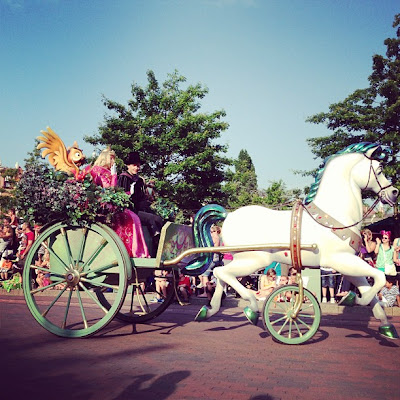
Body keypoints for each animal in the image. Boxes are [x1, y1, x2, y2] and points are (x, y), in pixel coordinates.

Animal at [188, 142, 400, 340]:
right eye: (379, 169)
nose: (394, 192)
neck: (332, 218)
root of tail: (228, 214)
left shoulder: (347, 264)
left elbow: (370, 288)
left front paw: (386, 326)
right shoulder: (340, 260)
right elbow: (378, 280)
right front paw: (351, 300)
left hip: (243, 259)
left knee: (221, 275)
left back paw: (209, 310)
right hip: (254, 260)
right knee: (222, 273)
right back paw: (251, 308)